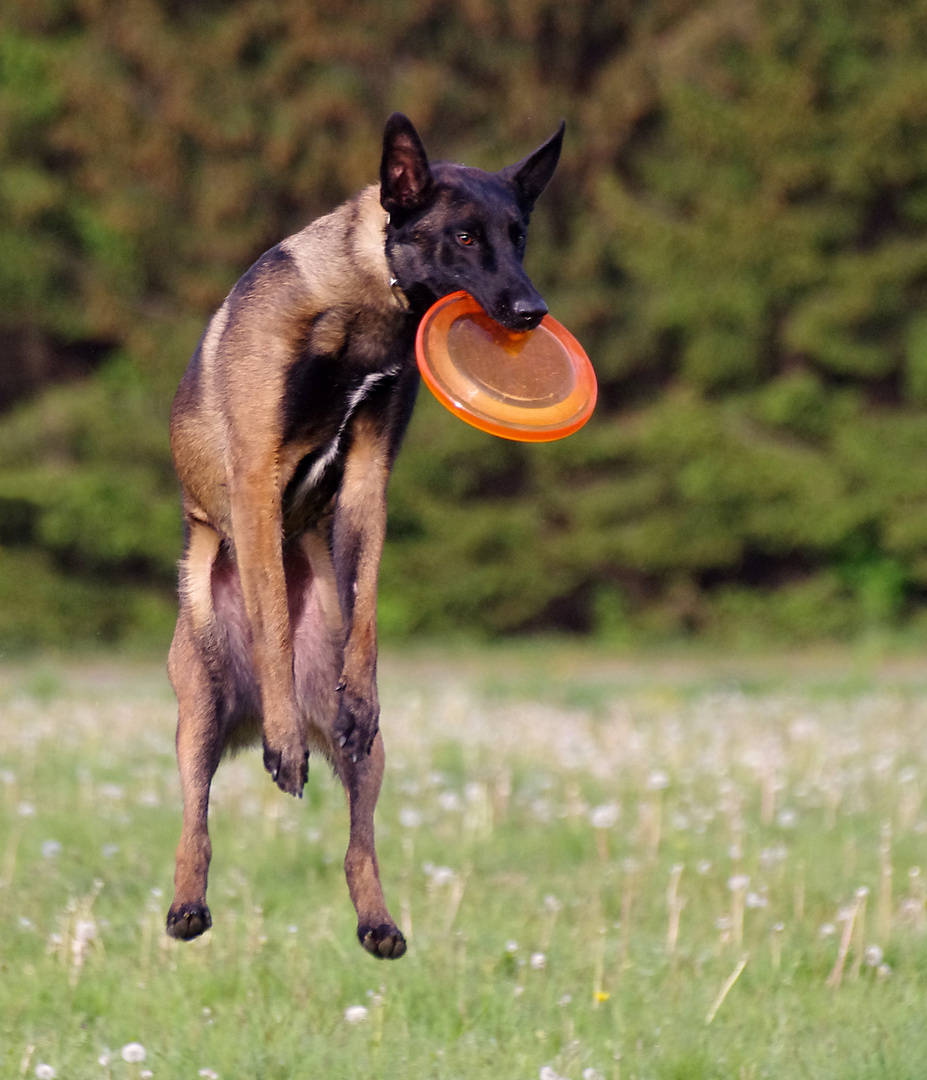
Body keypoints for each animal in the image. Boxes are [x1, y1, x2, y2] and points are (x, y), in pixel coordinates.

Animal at [162, 109, 561, 959]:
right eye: (465, 237)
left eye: (518, 235)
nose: (531, 313)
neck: (363, 303)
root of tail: (238, 719)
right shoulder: (255, 479)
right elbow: (272, 619)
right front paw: (285, 738)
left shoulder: (370, 478)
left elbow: (368, 606)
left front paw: (360, 687)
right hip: (198, 704)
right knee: (195, 819)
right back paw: (187, 903)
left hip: (368, 758)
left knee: (358, 839)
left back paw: (378, 923)